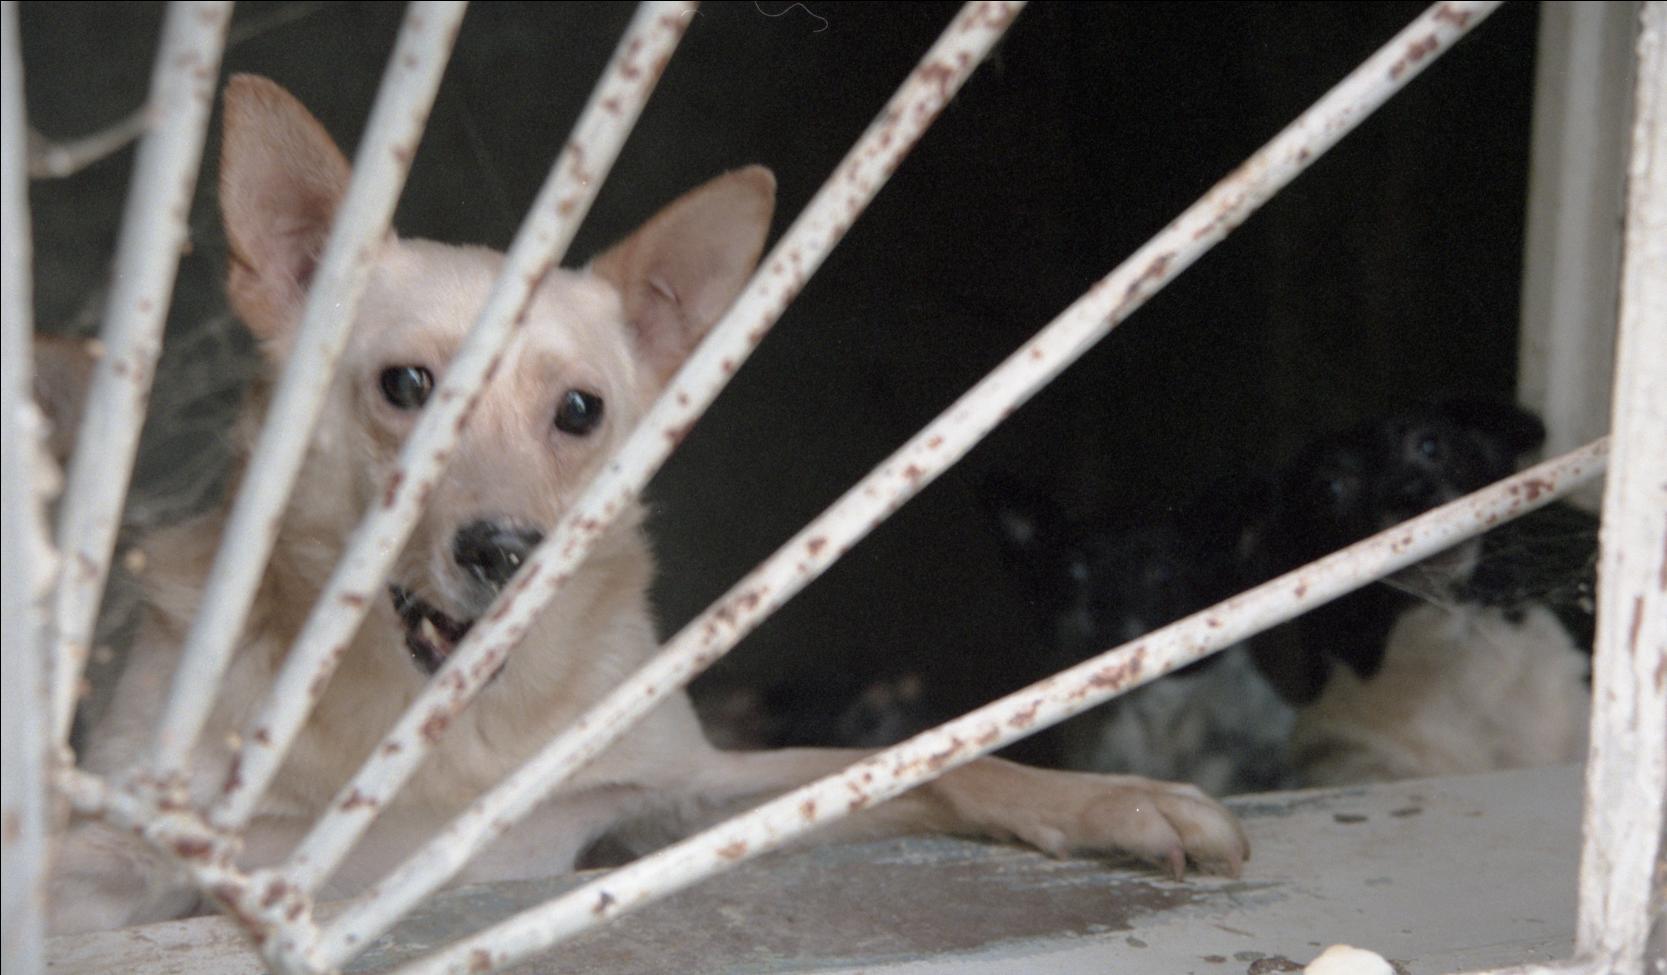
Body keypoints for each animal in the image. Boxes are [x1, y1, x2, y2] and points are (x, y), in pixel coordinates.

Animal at [47, 76, 1247, 935]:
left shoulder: (679, 794)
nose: (505, 551)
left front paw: (1112, 801)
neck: (446, 732)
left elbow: (931, 761)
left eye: (578, 410)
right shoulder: (149, 850)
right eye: (406, 387)